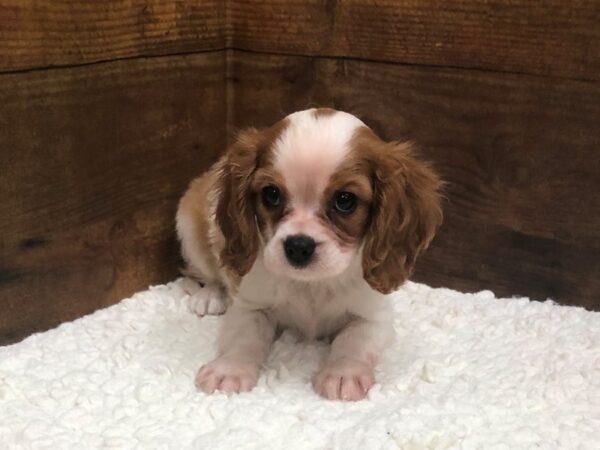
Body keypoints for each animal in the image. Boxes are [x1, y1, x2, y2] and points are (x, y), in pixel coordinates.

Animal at [176, 108, 442, 400]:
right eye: (271, 194)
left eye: (345, 200)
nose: (298, 246)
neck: (312, 284)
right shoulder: (250, 305)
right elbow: (244, 338)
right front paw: (230, 369)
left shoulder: (373, 317)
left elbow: (353, 341)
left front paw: (342, 373)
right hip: (189, 226)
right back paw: (210, 295)